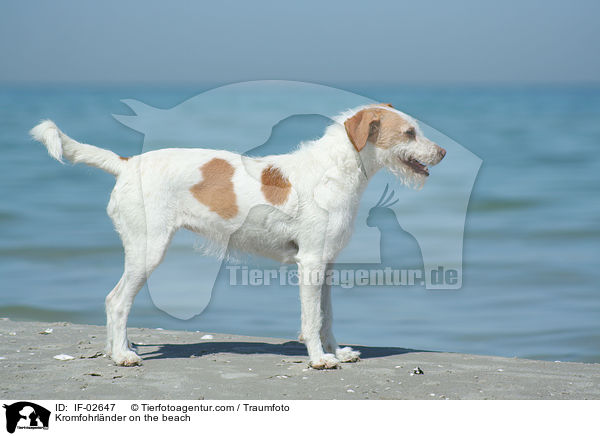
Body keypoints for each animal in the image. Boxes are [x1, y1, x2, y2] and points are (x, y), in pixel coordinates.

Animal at [31, 104, 446, 370]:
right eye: (409, 132)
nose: (442, 152)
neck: (334, 171)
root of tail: (127, 164)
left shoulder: (325, 265)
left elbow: (327, 317)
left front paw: (337, 352)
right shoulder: (310, 262)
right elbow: (311, 319)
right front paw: (318, 359)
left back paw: (117, 348)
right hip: (147, 251)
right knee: (116, 301)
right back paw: (122, 355)